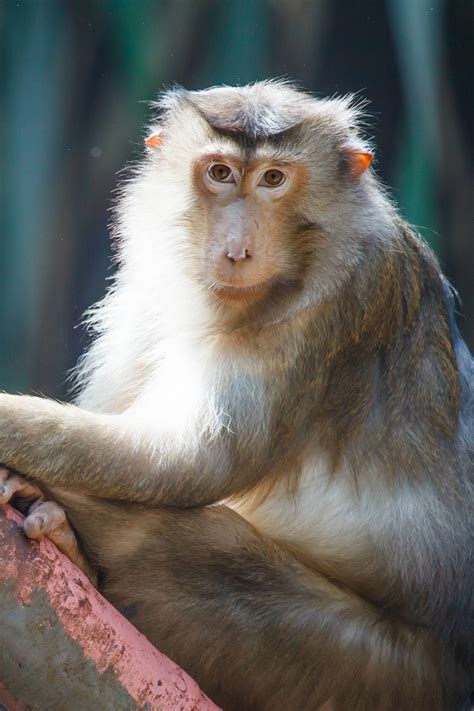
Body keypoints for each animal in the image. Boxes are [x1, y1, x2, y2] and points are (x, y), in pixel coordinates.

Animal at [0, 80, 472, 711]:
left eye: (273, 179)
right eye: (220, 173)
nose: (237, 250)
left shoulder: (336, 304)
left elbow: (193, 465)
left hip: (365, 673)